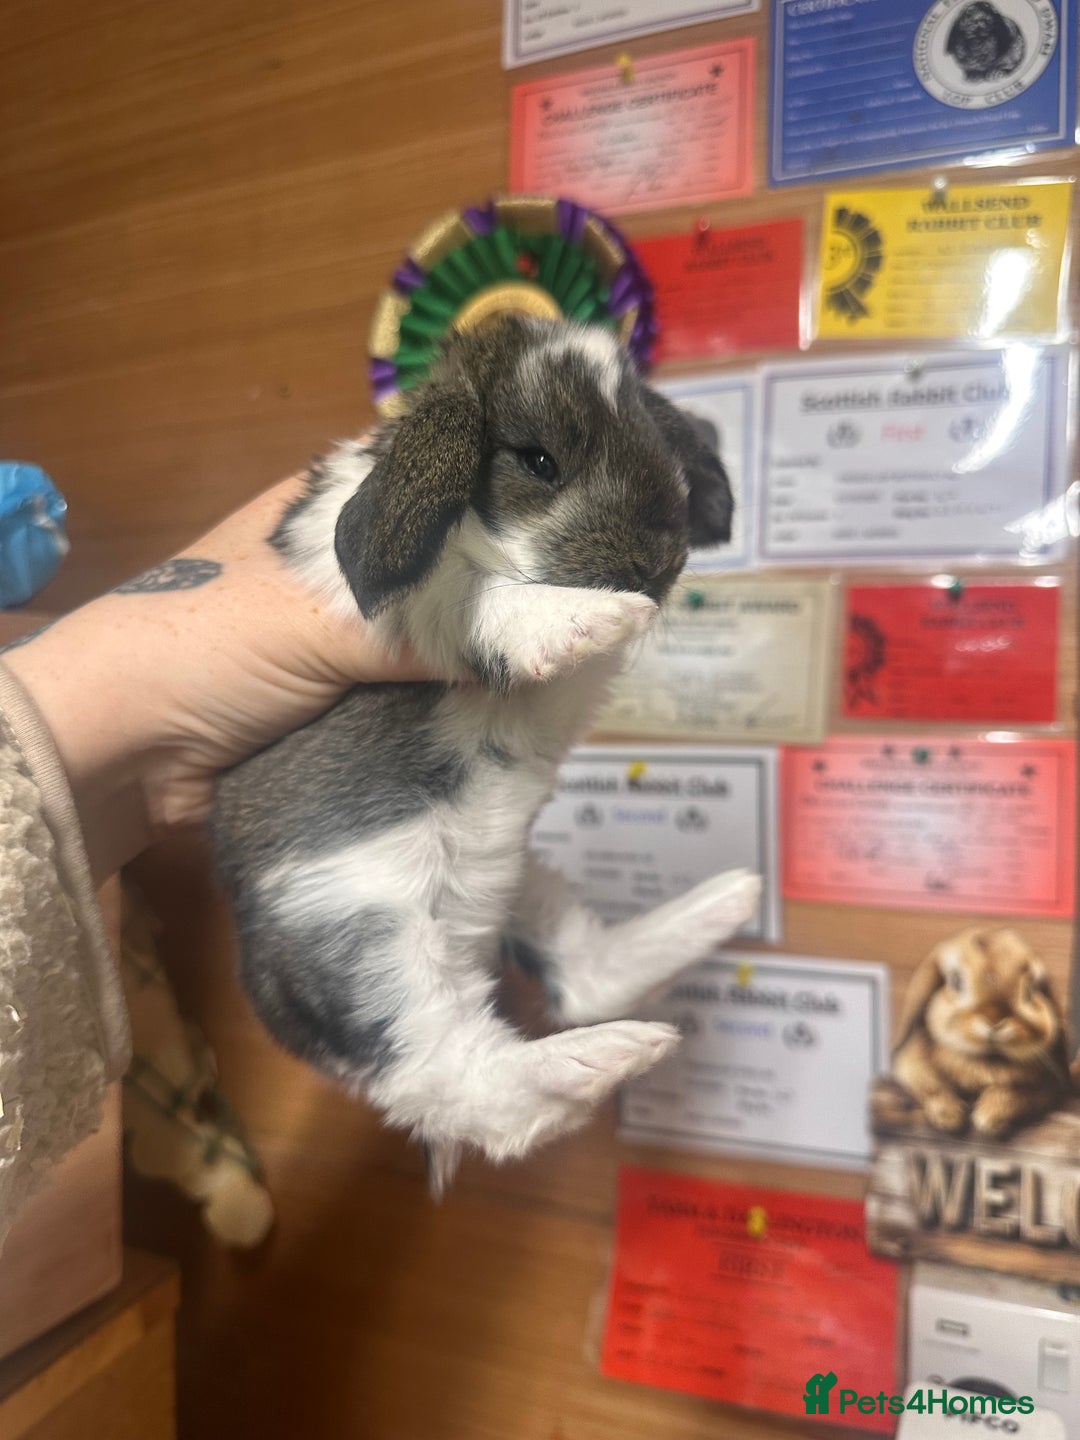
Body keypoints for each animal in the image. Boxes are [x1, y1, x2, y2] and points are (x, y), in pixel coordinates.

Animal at [212, 317, 762, 1191]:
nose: (652, 569)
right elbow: (484, 600)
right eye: (538, 461)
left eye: (664, 453)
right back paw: (611, 1055)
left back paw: (727, 903)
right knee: (460, 1085)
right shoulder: (399, 609)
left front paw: (616, 618)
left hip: (523, 888)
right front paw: (595, 620)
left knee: (579, 980)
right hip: (368, 944)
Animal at [888, 927, 1071, 1140]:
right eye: (956, 981)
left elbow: (1014, 1094)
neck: (987, 1060)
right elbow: (931, 1086)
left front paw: (989, 1119)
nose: (995, 1021)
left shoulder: (1044, 1089)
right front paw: (949, 1117)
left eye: (1029, 989)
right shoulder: (911, 1069)